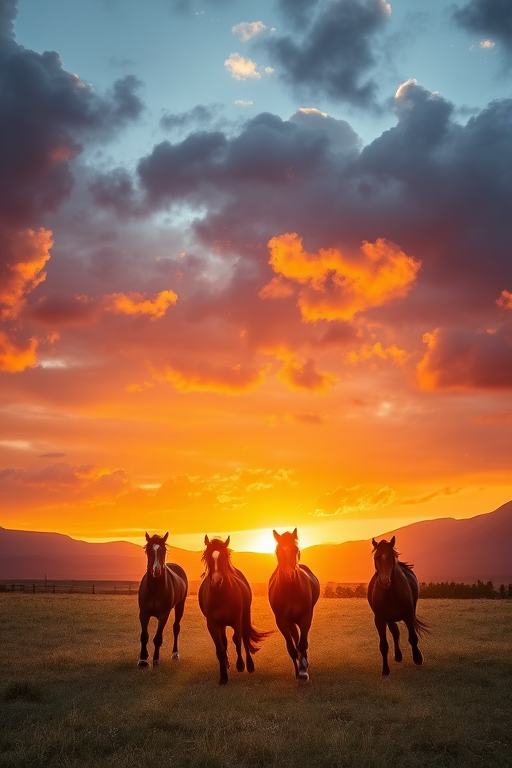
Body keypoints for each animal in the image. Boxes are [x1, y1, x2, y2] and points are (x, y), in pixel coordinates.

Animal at [137, 532, 188, 668]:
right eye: (148, 549)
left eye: (164, 550)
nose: (156, 570)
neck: (155, 589)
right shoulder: (143, 613)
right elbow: (144, 635)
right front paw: (143, 659)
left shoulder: (164, 614)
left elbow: (157, 637)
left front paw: (155, 660)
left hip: (180, 606)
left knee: (176, 628)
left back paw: (175, 654)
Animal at [198, 535, 270, 685]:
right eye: (208, 557)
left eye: (224, 557)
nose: (217, 581)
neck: (221, 596)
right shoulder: (212, 625)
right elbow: (220, 648)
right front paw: (223, 677)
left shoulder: (236, 620)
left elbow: (237, 639)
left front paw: (241, 665)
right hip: (222, 625)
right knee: (225, 641)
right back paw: (226, 664)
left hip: (245, 616)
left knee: (244, 637)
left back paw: (249, 665)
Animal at [268, 528, 320, 681]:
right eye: (278, 550)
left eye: (295, 549)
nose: (289, 575)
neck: (290, 590)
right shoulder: (282, 621)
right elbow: (292, 648)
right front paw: (298, 672)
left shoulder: (305, 617)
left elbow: (302, 644)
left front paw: (303, 671)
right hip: (291, 622)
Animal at [367, 536, 429, 676]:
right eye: (376, 557)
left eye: (391, 556)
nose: (384, 581)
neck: (391, 593)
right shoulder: (380, 619)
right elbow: (384, 645)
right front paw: (385, 670)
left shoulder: (408, 615)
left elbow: (413, 638)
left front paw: (418, 658)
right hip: (389, 619)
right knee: (395, 632)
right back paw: (398, 656)